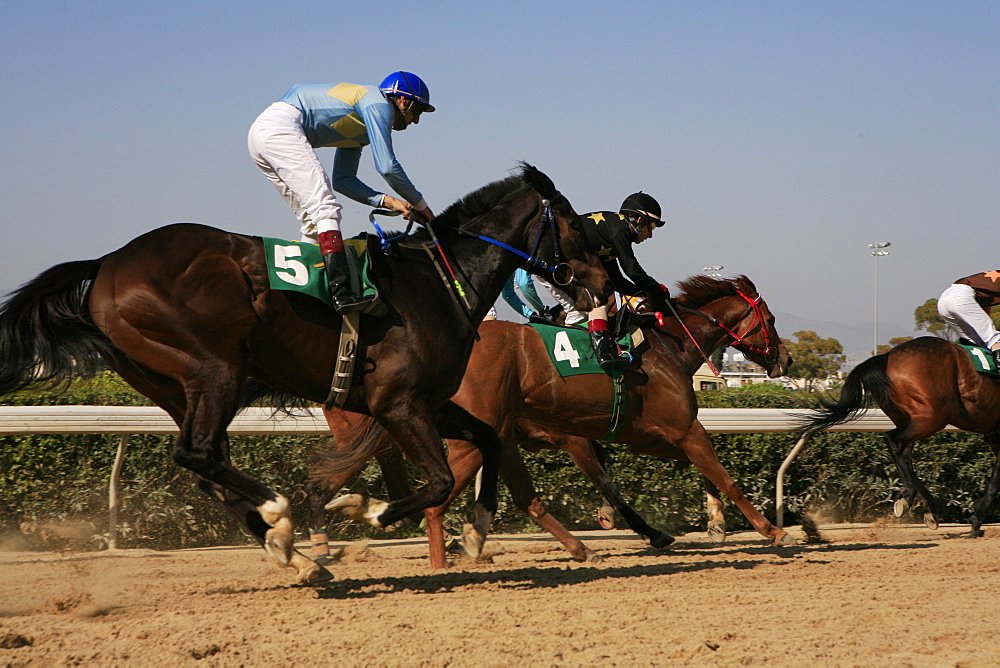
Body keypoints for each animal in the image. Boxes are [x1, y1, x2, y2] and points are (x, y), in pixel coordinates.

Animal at [0, 164, 608, 580]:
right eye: (575, 223)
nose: (603, 284)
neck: (437, 283)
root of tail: (107, 264)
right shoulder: (398, 404)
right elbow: (436, 479)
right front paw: (366, 508)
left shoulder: (430, 402)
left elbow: (487, 439)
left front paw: (477, 534)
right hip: (215, 369)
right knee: (198, 454)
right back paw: (280, 516)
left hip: (176, 387)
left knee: (207, 464)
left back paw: (292, 553)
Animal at [312, 274, 796, 568]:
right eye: (770, 319)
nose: (786, 360)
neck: (667, 347)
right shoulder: (670, 430)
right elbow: (722, 476)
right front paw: (772, 530)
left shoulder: (650, 436)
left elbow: (700, 475)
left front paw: (710, 524)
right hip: (466, 440)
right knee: (424, 497)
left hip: (492, 436)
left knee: (518, 497)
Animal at [800, 334, 1000, 536]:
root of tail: (887, 357)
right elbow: (995, 481)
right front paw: (976, 521)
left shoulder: (993, 436)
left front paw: (976, 519)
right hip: (933, 416)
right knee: (894, 441)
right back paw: (911, 496)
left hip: (909, 417)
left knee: (904, 453)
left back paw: (928, 508)